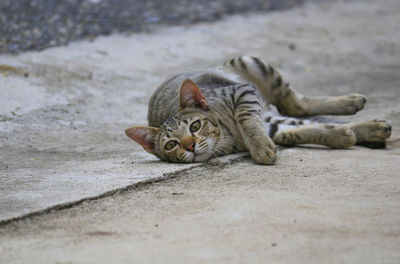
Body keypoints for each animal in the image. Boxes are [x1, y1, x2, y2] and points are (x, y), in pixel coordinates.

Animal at [124, 56, 390, 164]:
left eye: (195, 126)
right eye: (171, 145)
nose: (190, 146)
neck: (229, 136)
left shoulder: (242, 92)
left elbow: (246, 120)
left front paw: (260, 148)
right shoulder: (271, 127)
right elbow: (301, 132)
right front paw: (341, 136)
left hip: (252, 65)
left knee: (296, 103)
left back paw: (351, 102)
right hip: (271, 114)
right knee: (301, 118)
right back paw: (368, 130)